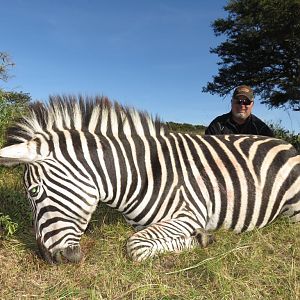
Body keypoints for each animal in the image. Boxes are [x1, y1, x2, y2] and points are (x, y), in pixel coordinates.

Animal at [0, 96, 298, 262]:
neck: (140, 173)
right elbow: (141, 240)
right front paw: (201, 238)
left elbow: (135, 246)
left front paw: (202, 239)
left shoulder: (189, 214)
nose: (46, 258)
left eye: (34, 192)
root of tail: (283, 141)